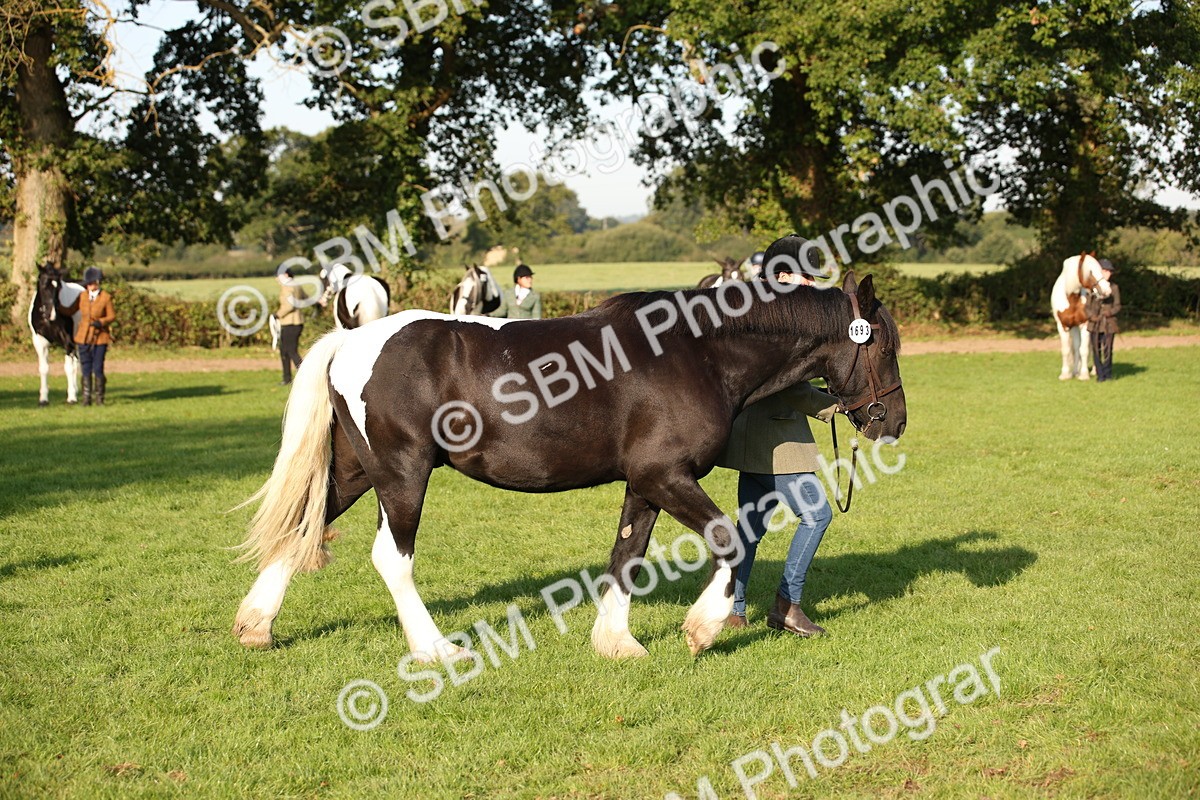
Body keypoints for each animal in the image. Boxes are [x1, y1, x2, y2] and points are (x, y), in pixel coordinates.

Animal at [29, 263, 83, 406]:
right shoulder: (40, 341)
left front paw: (71, 398)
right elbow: (43, 368)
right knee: (76, 363)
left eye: (58, 287)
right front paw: (43, 399)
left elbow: (68, 368)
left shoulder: (67, 340)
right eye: (43, 285)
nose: (51, 314)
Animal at [232, 271, 907, 663]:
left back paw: (257, 626)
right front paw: (702, 629)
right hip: (402, 475)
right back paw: (435, 649)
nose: (893, 422)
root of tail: (354, 340)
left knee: (302, 525)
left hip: (355, 470)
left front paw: (617, 642)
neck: (697, 351)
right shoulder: (667, 476)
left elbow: (626, 554)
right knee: (390, 559)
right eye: (884, 345)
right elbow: (729, 540)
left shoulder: (646, 483)